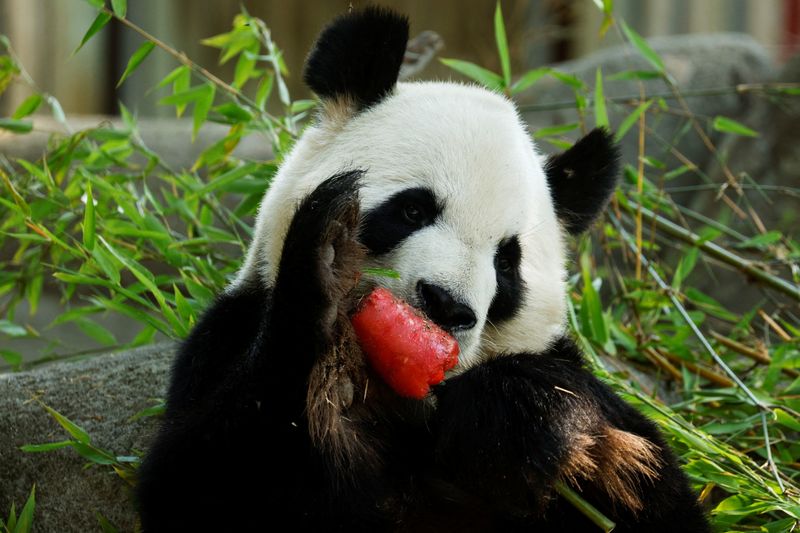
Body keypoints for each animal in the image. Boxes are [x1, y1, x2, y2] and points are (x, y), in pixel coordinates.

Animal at [136, 5, 708, 532]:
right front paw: (326, 269)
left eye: (506, 262)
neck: (407, 399)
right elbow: (206, 477)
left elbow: (653, 491)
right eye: (413, 210)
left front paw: (527, 414)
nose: (447, 305)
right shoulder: (229, 335)